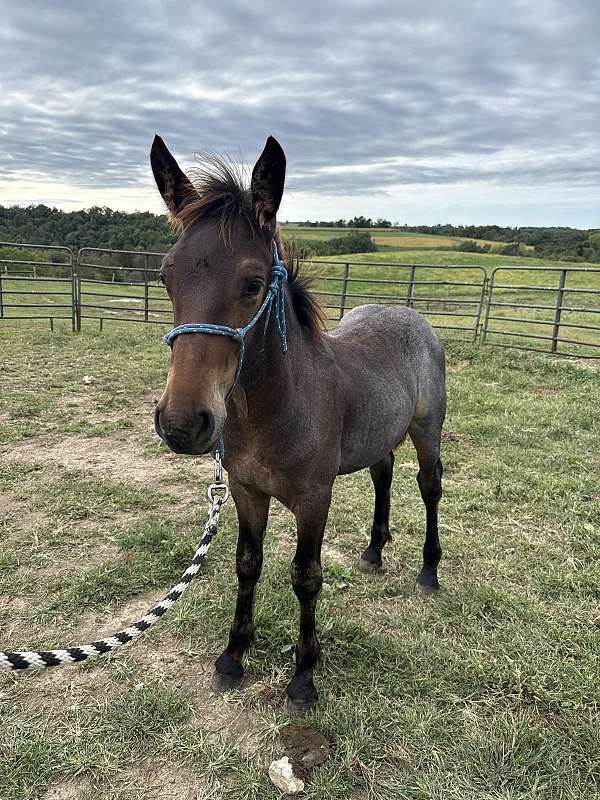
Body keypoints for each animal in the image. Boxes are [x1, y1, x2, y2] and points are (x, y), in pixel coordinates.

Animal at [151, 134, 446, 712]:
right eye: (167, 276)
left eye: (253, 282)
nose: (181, 424)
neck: (273, 411)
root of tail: (411, 315)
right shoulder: (246, 491)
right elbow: (248, 564)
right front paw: (232, 658)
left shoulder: (313, 499)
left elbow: (306, 578)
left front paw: (303, 678)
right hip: (379, 435)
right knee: (383, 474)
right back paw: (374, 552)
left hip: (427, 432)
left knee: (428, 485)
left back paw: (428, 571)